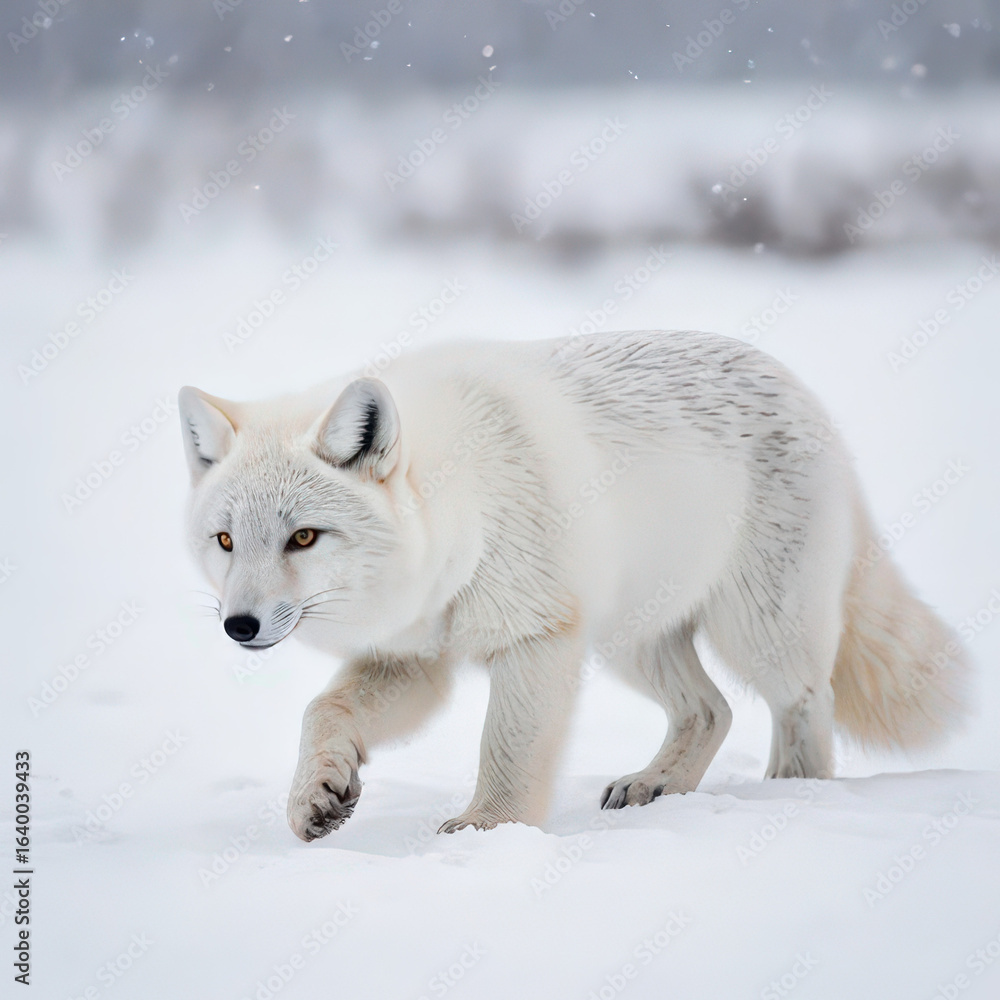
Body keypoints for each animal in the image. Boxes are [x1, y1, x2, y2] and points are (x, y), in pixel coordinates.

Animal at [178, 331, 968, 841]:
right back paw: (655, 786)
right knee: (711, 711)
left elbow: (507, 752)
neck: (469, 504)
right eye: (226, 541)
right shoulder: (415, 659)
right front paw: (316, 796)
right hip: (630, 639)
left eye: (303, 537)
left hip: (755, 633)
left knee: (805, 702)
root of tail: (803, 390)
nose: (239, 626)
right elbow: (323, 711)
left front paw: (487, 833)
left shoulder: (536, 639)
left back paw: (792, 792)